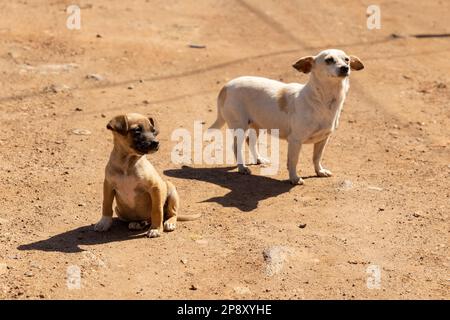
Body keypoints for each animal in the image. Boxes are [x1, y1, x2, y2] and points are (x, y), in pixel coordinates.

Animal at [208, 48, 362, 185]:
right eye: (329, 60)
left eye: (347, 60)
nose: (345, 68)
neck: (323, 101)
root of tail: (226, 86)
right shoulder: (295, 141)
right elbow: (293, 161)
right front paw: (294, 178)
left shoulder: (323, 139)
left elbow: (316, 158)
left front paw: (319, 171)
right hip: (240, 127)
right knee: (236, 146)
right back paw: (242, 167)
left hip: (256, 126)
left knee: (250, 141)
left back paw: (259, 160)